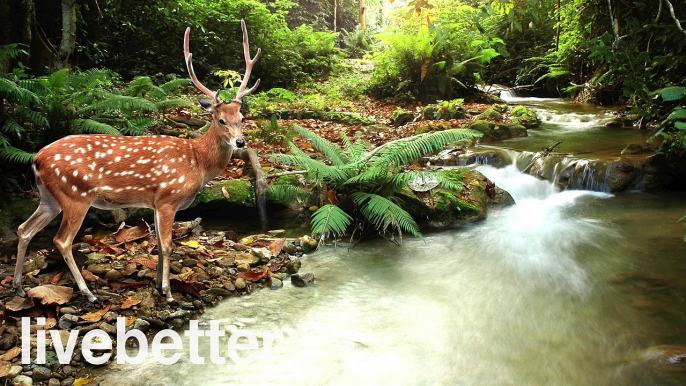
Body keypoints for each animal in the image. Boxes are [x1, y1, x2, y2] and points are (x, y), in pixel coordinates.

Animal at [14, 20, 260, 304]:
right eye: (220, 120)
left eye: (241, 118)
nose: (240, 142)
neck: (197, 162)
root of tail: (36, 158)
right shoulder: (168, 198)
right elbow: (167, 244)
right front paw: (169, 294)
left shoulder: (154, 202)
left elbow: (158, 244)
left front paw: (158, 286)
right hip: (76, 194)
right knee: (61, 240)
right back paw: (89, 294)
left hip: (49, 198)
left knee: (24, 228)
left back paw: (19, 287)